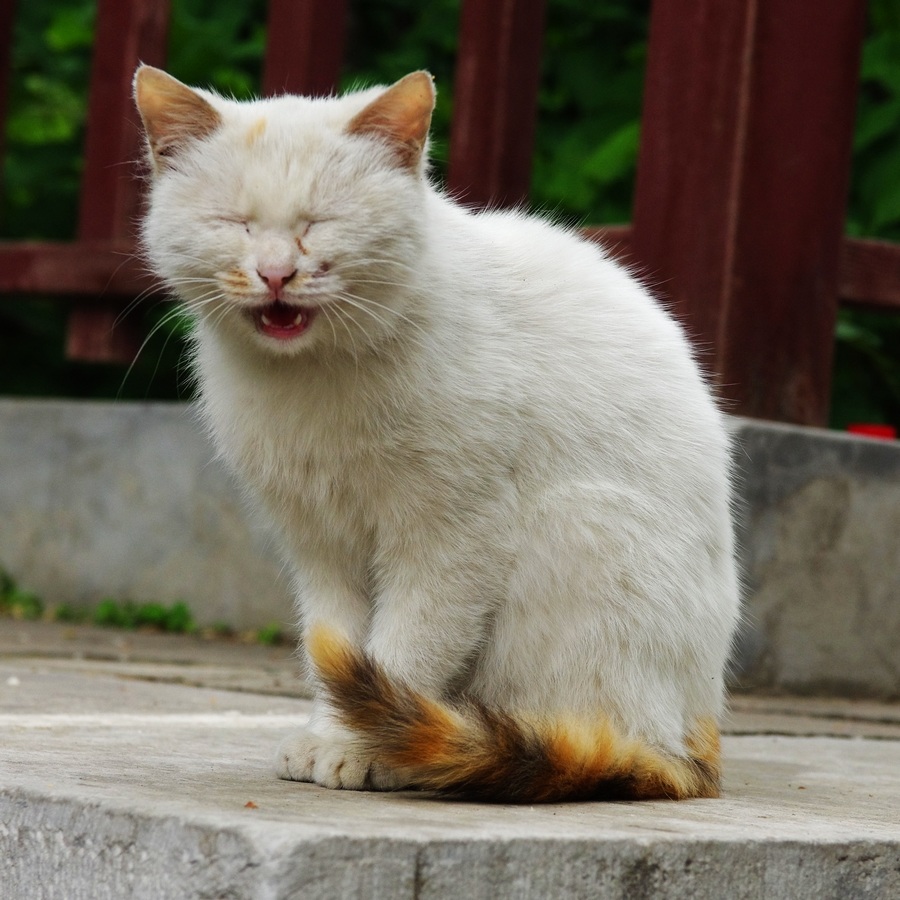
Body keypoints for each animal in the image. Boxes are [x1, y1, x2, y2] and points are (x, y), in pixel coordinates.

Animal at [134, 67, 740, 804]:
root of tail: (698, 741)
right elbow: (337, 647)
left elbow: (408, 648)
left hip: (576, 524)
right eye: (235, 223)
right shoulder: (320, 543)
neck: (317, 379)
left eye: (319, 223)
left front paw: (360, 749)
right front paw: (334, 734)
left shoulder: (455, 535)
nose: (276, 273)